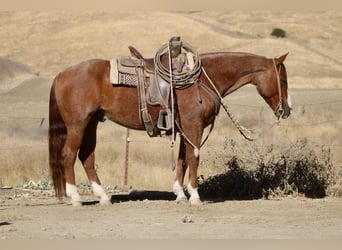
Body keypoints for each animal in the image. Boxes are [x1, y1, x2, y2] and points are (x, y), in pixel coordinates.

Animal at [48, 44, 292, 206]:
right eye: (283, 80)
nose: (286, 110)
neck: (202, 79)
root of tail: (61, 74)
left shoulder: (184, 129)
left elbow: (182, 159)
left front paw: (180, 194)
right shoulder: (194, 126)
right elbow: (194, 157)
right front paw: (195, 196)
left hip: (91, 123)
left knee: (86, 157)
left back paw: (103, 197)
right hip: (78, 124)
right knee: (69, 155)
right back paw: (75, 197)